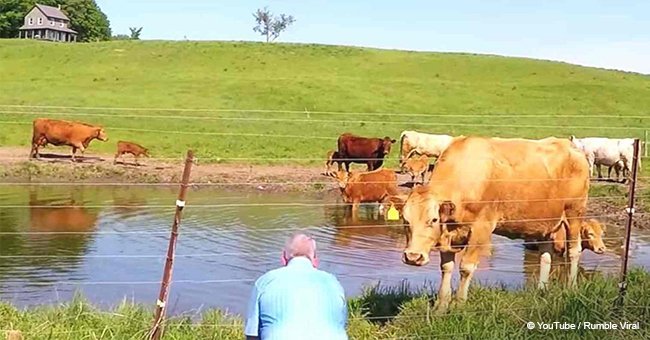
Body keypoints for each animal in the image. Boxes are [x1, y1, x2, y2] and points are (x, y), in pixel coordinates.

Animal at [400, 137, 588, 312]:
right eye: (405, 219)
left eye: (433, 219)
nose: (413, 257)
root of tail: (571, 147)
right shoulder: (448, 235)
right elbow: (446, 267)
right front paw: (441, 306)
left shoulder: (481, 227)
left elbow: (466, 267)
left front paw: (459, 304)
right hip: (544, 223)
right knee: (545, 255)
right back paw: (541, 290)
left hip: (574, 213)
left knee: (573, 251)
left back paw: (571, 287)